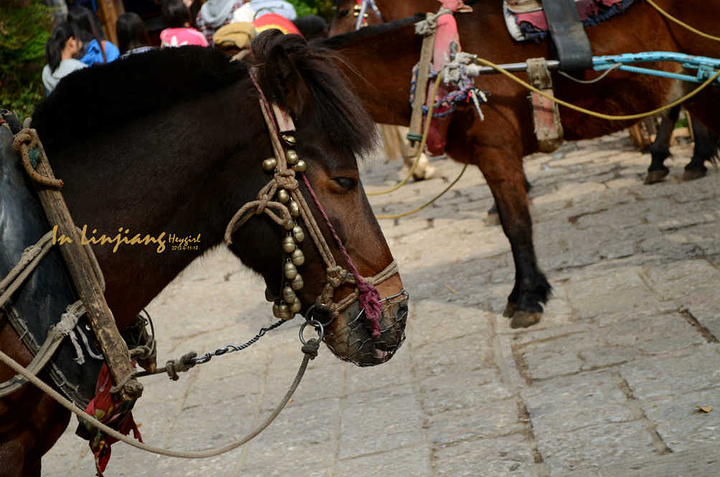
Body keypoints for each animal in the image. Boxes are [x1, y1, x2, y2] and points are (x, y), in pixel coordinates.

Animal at [322, 0, 720, 328]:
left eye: (342, 10)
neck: (440, 63)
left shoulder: (497, 152)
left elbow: (516, 224)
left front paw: (528, 297)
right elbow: (507, 219)